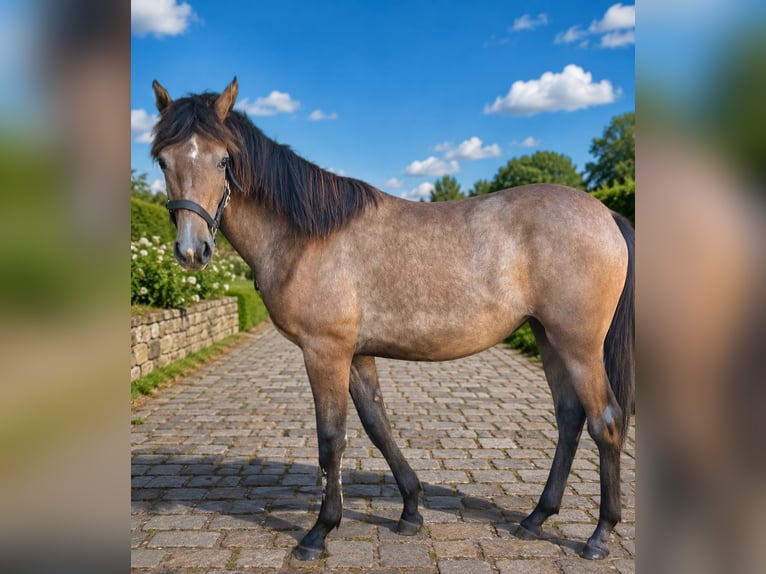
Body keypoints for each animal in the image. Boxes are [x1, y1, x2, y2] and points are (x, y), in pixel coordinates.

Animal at [149, 77, 635, 561]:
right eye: (162, 161)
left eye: (223, 159)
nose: (192, 251)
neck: (307, 235)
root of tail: (606, 215)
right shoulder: (356, 354)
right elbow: (377, 425)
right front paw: (411, 509)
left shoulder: (325, 351)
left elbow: (332, 438)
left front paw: (320, 531)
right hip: (547, 337)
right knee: (569, 418)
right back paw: (536, 518)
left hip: (578, 345)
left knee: (605, 422)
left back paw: (599, 535)